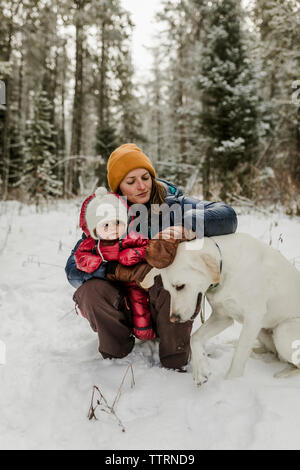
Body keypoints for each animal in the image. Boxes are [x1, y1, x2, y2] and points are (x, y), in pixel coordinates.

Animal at [142, 235, 300, 386]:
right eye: (168, 290)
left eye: (180, 286)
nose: (174, 319)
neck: (225, 269)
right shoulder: (222, 317)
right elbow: (194, 338)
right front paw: (200, 370)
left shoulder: (253, 317)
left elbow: (239, 355)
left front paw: (230, 382)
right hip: (262, 330)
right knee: (274, 353)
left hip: (283, 330)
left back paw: (283, 374)